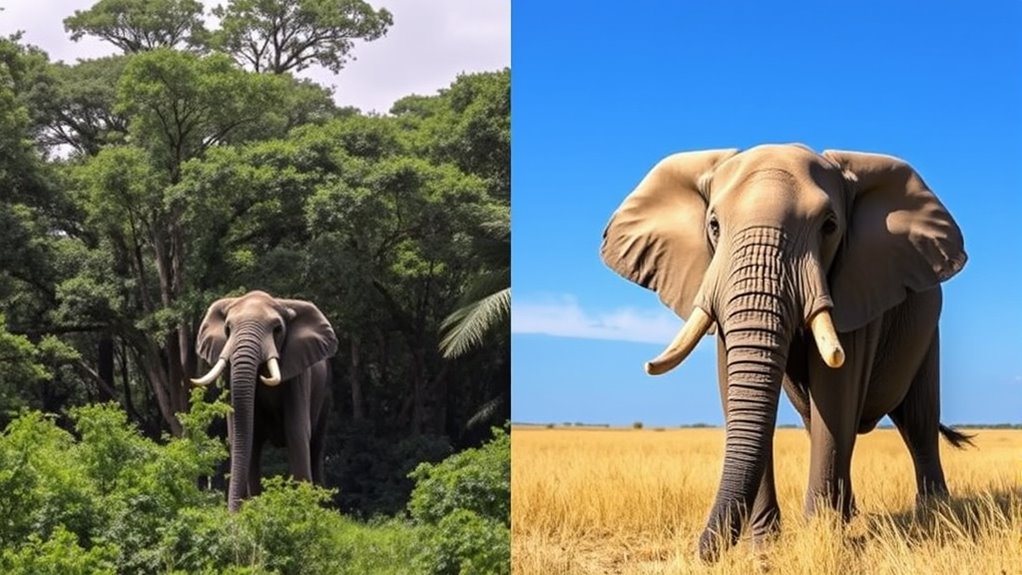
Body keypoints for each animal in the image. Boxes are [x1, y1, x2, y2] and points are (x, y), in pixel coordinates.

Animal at [191, 290, 338, 511]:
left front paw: (302, 511)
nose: (231, 515)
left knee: (315, 448)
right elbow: (244, 436)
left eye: (277, 329)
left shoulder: (298, 374)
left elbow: (297, 433)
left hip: (326, 393)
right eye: (227, 329)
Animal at [600, 144, 971, 562]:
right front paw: (765, 548)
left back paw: (934, 513)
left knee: (918, 420)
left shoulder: (855, 287)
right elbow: (734, 387)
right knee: (821, 421)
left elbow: (835, 394)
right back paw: (853, 514)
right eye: (714, 226)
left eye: (829, 226)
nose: (703, 553)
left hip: (928, 330)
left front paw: (819, 539)